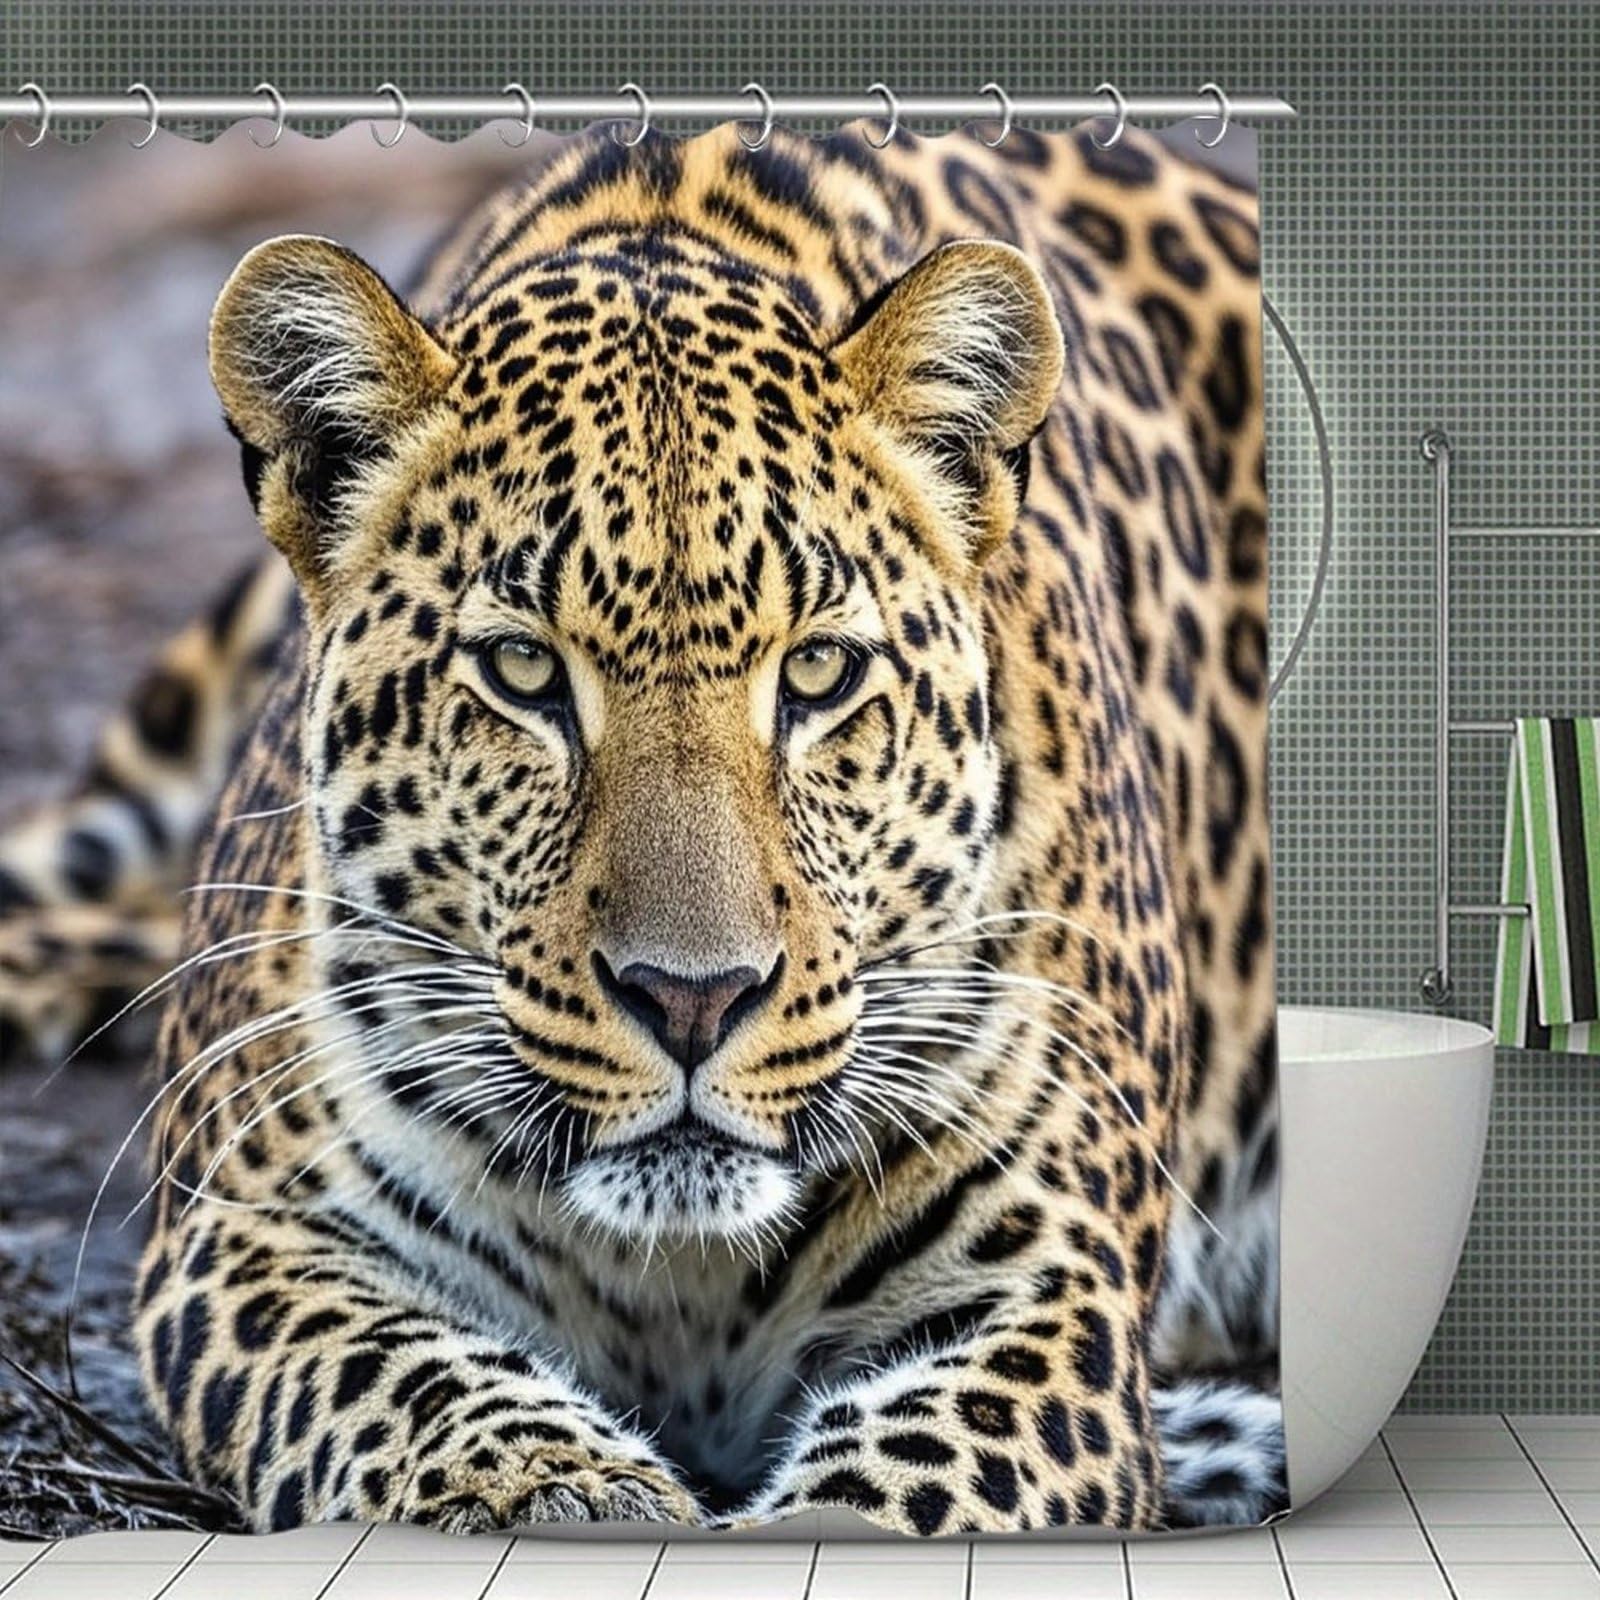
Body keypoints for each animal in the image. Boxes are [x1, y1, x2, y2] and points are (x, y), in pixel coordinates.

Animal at [0, 119, 1282, 1536]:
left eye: (819, 672)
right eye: (522, 670)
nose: (691, 1000)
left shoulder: (1044, 1295)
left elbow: (907, 1488)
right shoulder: (245, 1238)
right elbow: (414, 1390)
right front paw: (575, 1497)